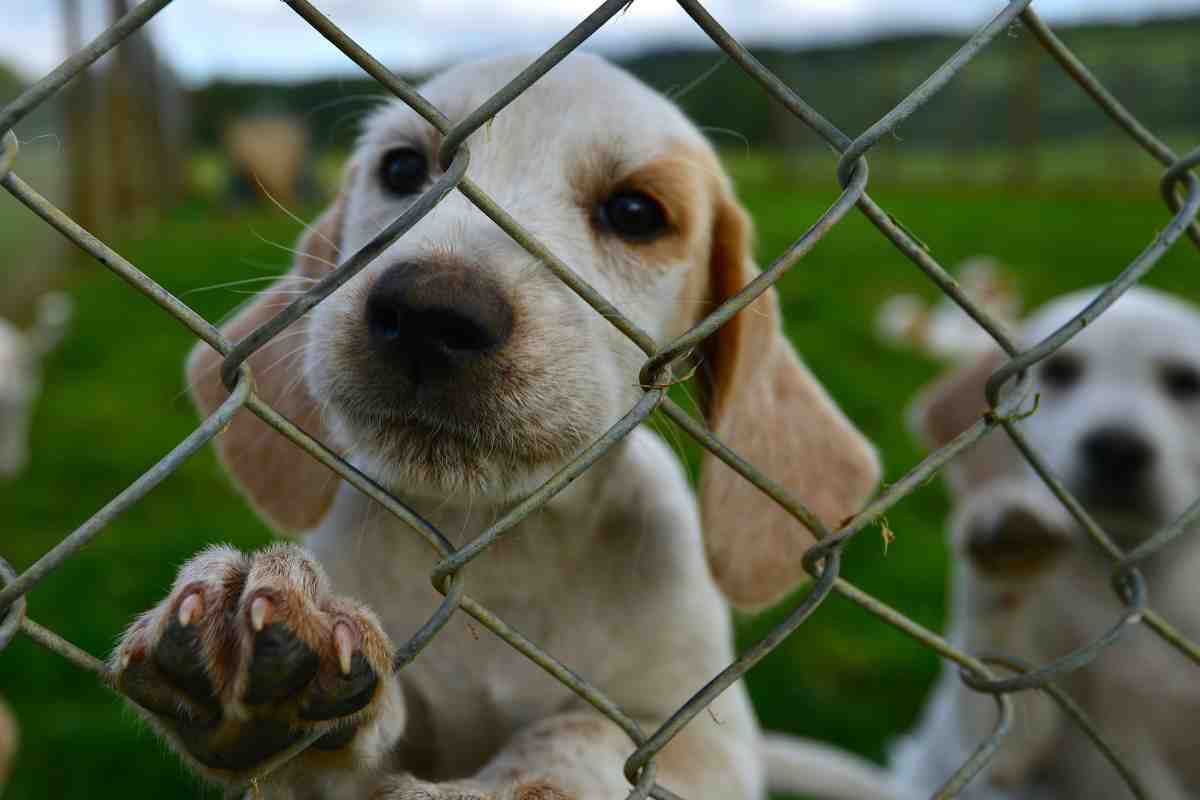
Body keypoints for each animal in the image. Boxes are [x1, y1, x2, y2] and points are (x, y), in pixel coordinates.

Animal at [110, 56, 892, 800]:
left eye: (636, 211)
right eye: (402, 169)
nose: (429, 314)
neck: (506, 549)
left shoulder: (705, 744)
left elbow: (585, 735)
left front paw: (502, 786)